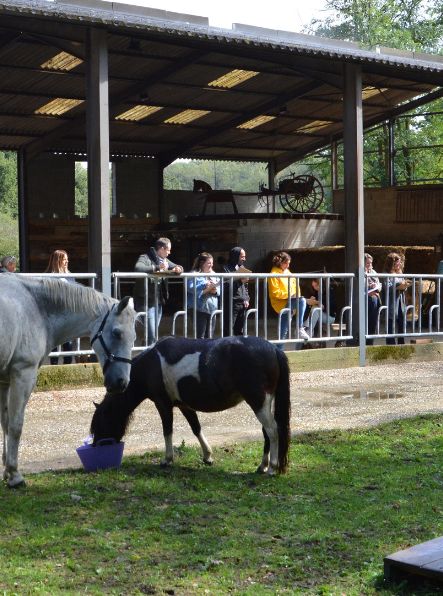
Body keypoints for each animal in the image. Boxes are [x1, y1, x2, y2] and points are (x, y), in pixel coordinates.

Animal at [0, 272, 137, 486]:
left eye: (134, 338)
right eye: (117, 333)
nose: (121, 383)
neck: (35, 307)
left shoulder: (5, 381)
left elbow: (5, 425)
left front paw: (7, 471)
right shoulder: (23, 375)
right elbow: (16, 425)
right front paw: (15, 475)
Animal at [91, 338, 292, 472]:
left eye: (101, 424)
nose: (95, 446)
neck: (150, 364)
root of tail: (274, 348)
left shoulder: (163, 404)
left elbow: (167, 430)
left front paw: (167, 460)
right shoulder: (184, 406)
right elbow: (196, 428)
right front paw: (208, 457)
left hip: (258, 401)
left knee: (273, 431)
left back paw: (272, 467)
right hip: (263, 403)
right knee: (266, 432)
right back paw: (262, 466)